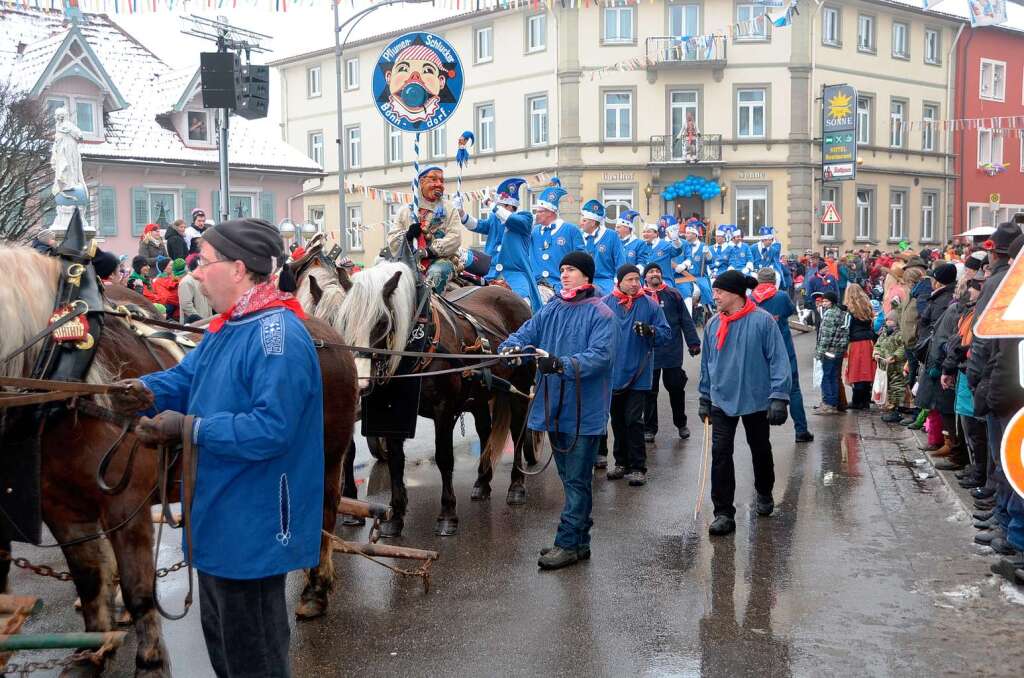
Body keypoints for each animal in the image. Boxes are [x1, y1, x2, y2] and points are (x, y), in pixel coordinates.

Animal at [0, 245, 360, 678]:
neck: (74, 385)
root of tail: (325, 333)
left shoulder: (125, 509)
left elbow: (139, 593)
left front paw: (149, 662)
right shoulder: (64, 512)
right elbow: (89, 581)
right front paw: (92, 653)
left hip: (328, 457)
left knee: (324, 514)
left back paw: (316, 589)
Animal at [305, 262, 536, 540]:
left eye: (382, 322)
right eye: (345, 321)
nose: (359, 383)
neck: (418, 346)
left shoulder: (443, 410)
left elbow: (444, 457)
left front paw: (447, 514)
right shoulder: (392, 411)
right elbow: (395, 461)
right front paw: (395, 517)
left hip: (519, 388)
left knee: (518, 432)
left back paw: (517, 486)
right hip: (480, 395)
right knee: (485, 431)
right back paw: (482, 482)